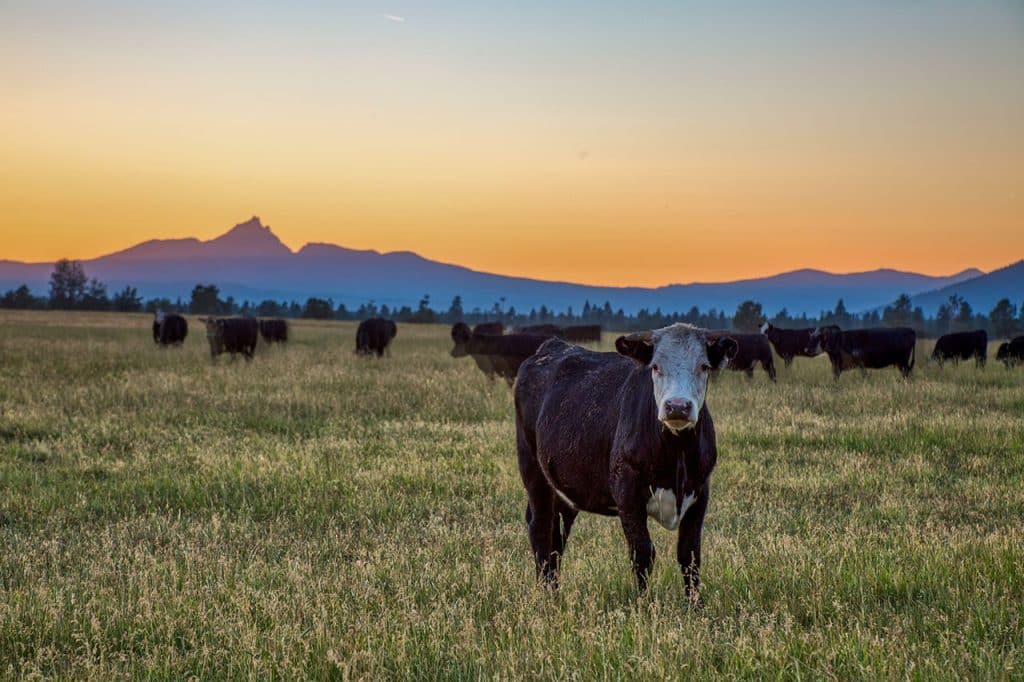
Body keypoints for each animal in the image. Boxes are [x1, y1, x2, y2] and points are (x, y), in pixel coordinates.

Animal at [514, 324, 737, 597]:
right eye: (655, 366)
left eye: (703, 366)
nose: (677, 406)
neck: (676, 455)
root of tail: (553, 345)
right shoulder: (627, 492)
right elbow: (643, 553)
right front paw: (644, 603)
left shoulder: (700, 492)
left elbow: (690, 555)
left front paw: (694, 604)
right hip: (533, 471)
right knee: (541, 527)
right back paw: (546, 593)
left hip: (565, 485)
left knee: (557, 534)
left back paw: (554, 590)